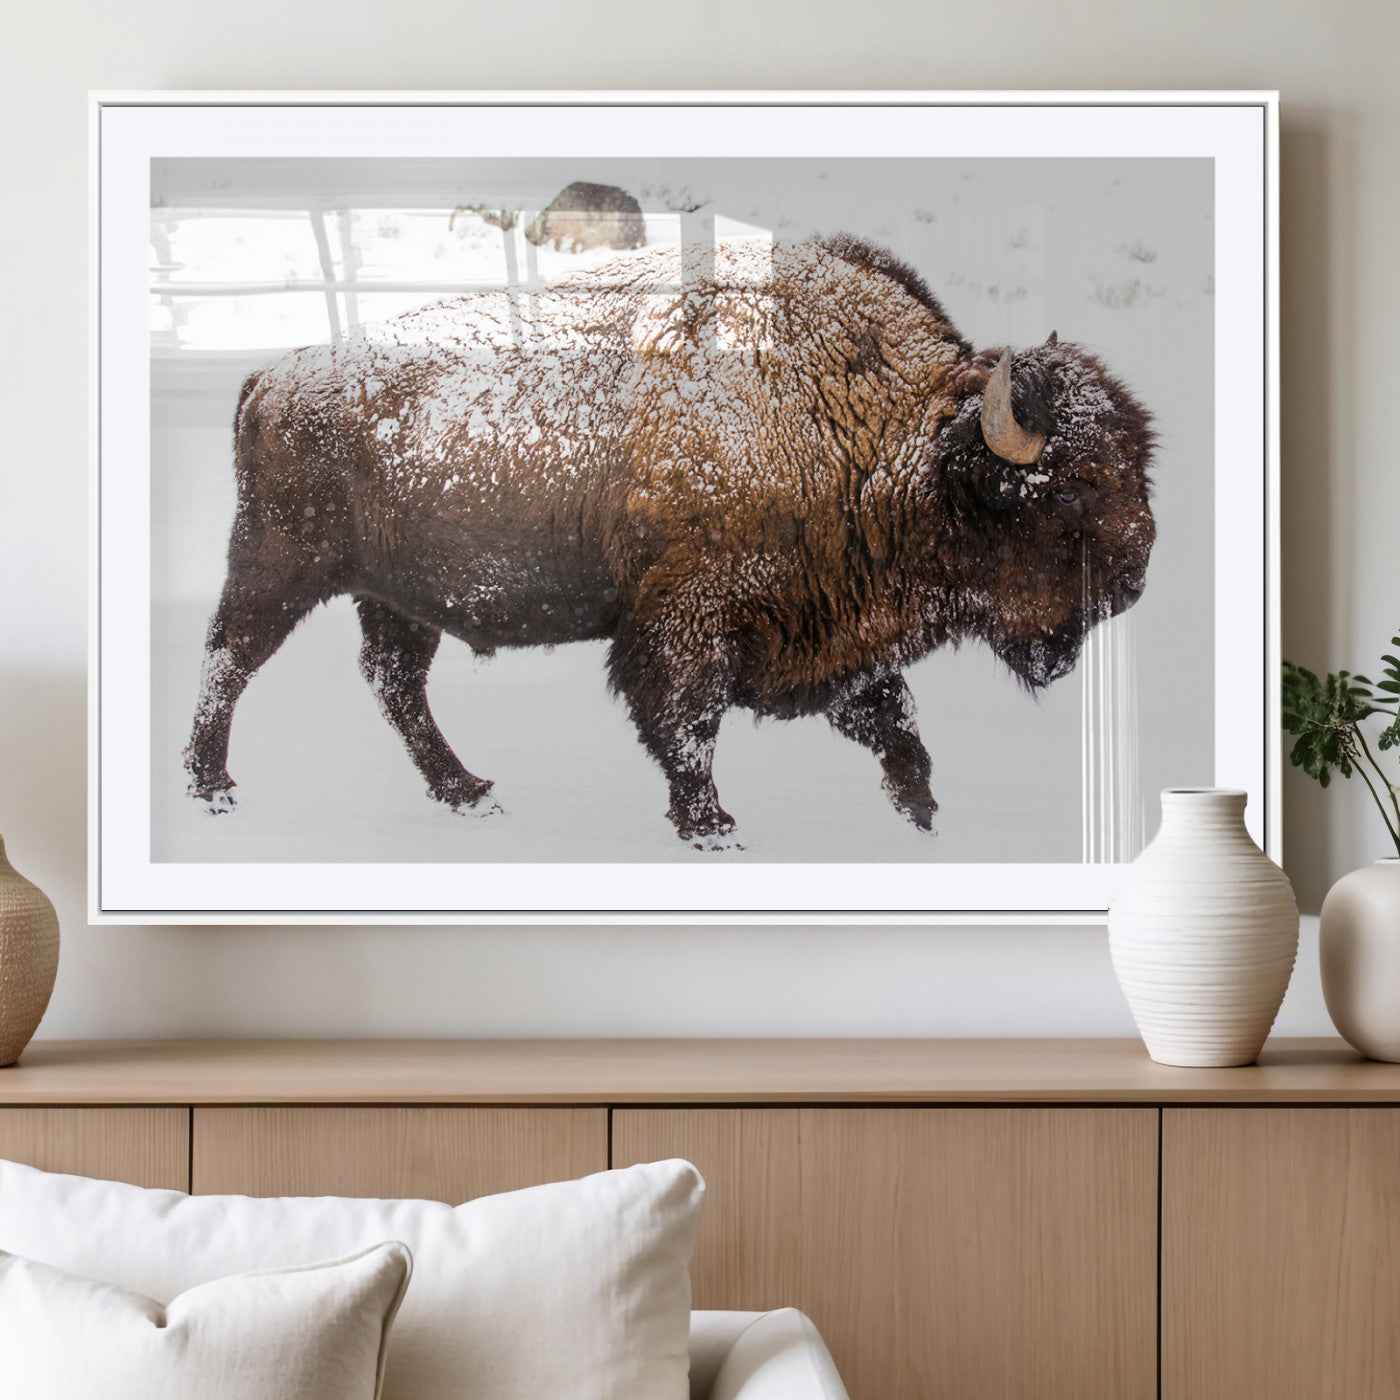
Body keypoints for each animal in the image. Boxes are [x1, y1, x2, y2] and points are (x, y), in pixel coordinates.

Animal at [185, 233, 1155, 846]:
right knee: (229, 660)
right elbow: (688, 725)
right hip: (278, 567)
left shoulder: (837, 629)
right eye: (1069, 491)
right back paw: (212, 788)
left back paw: (467, 793)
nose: (1136, 579)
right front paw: (711, 827)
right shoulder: (689, 622)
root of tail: (274, 372)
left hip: (397, 596)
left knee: (395, 685)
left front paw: (921, 815)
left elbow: (894, 723)